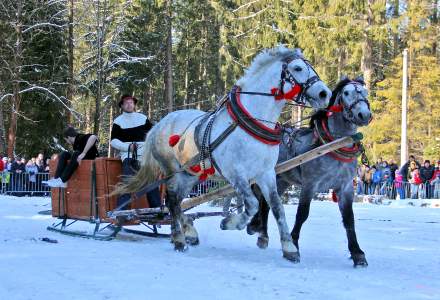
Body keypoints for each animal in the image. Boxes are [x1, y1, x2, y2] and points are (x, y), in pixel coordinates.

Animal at [248, 78, 372, 268]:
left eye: (365, 93)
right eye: (346, 93)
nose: (364, 115)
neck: (330, 146)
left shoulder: (345, 187)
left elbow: (349, 219)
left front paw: (357, 253)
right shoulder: (310, 184)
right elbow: (302, 214)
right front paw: (293, 244)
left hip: (282, 180)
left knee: (267, 203)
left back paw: (260, 231)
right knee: (265, 201)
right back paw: (261, 233)